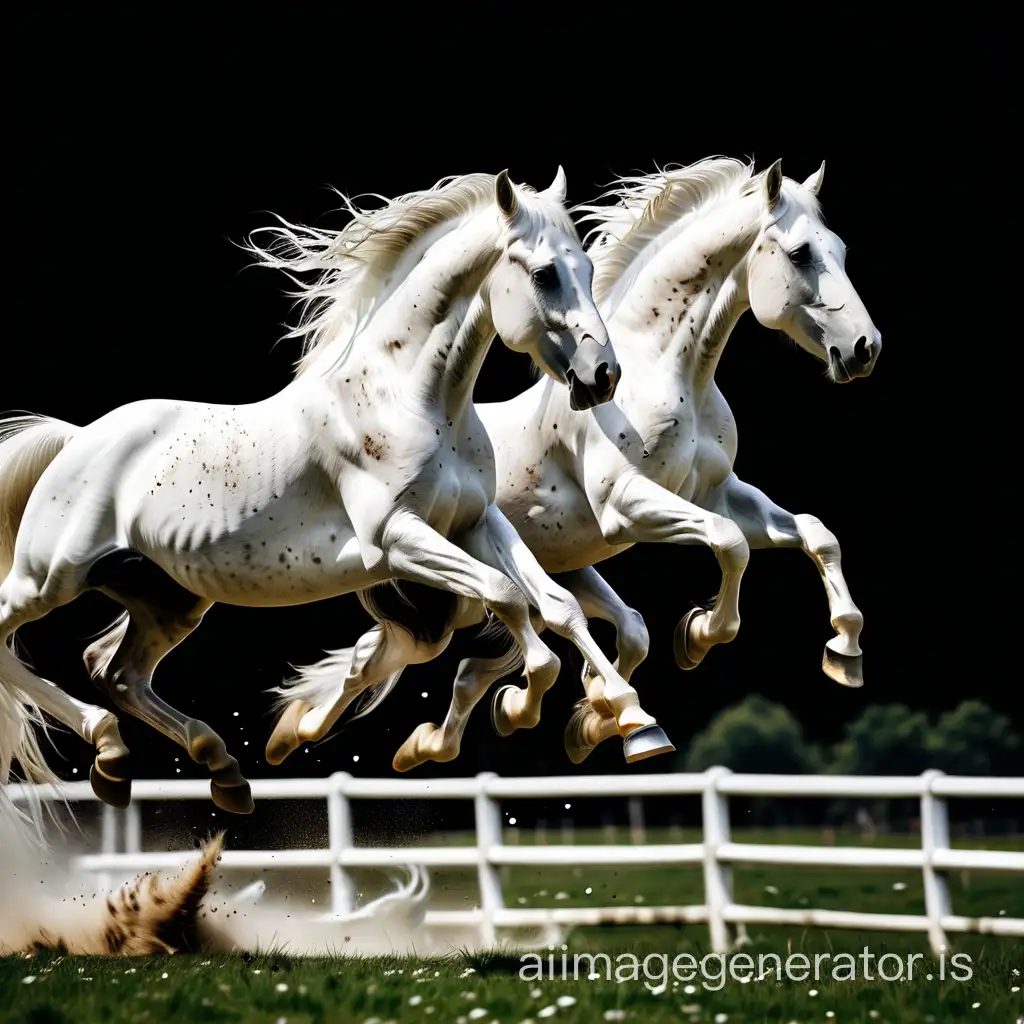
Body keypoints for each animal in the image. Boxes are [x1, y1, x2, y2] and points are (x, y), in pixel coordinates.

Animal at [0, 167, 675, 823]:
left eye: (585, 267)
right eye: (544, 274)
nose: (602, 377)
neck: (409, 399)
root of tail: (73, 441)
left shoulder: (476, 524)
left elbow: (555, 604)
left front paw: (634, 720)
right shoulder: (397, 540)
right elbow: (510, 598)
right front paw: (524, 704)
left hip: (169, 599)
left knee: (115, 671)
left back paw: (189, 767)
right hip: (47, 578)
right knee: (28, 647)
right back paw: (118, 746)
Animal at [280, 157, 880, 770]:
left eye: (840, 249)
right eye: (801, 253)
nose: (864, 348)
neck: (666, 374)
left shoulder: (716, 490)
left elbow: (814, 534)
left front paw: (844, 652)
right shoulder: (629, 507)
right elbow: (729, 542)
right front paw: (699, 636)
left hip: (506, 584)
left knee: (419, 659)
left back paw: (381, 737)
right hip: (449, 593)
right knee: (396, 657)